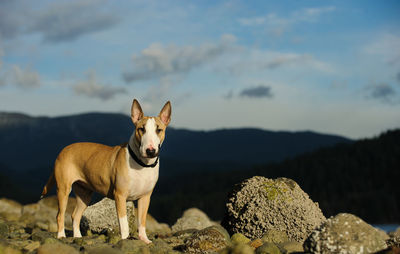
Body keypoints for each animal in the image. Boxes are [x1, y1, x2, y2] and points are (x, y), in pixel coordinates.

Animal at [40, 98, 170, 243]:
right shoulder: (120, 196)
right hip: (63, 190)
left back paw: (78, 236)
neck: (142, 164)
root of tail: (63, 150)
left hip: (84, 195)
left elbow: (142, 221)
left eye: (159, 130)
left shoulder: (145, 198)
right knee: (60, 215)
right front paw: (125, 239)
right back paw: (61, 235)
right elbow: (124, 223)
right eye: (141, 129)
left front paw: (144, 240)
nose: (150, 150)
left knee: (75, 215)